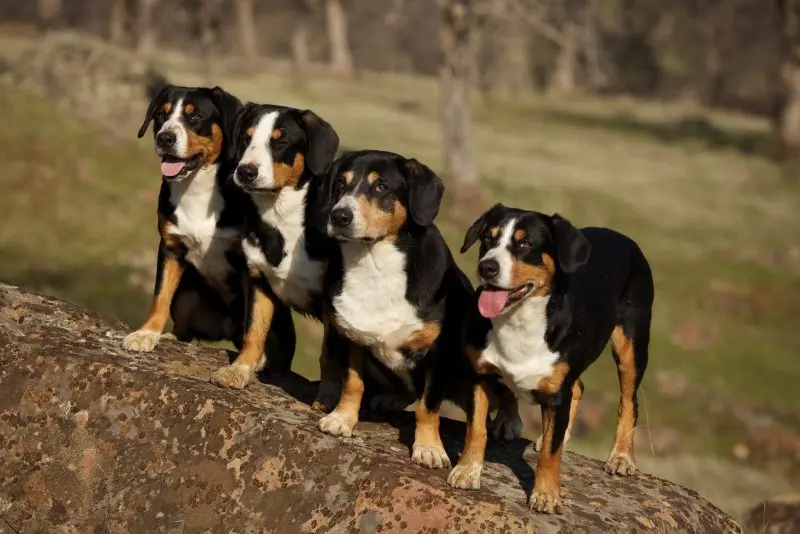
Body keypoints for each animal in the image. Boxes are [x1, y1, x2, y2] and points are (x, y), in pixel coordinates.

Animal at [126, 85, 296, 372]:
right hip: (188, 295)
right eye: (162, 114)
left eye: (195, 116)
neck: (197, 188)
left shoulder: (247, 261)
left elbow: (253, 318)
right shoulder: (171, 246)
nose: (165, 138)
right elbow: (160, 295)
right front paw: (146, 333)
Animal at [206, 100, 344, 408]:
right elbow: (254, 331)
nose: (246, 172)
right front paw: (239, 371)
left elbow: (329, 354)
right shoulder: (258, 279)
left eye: (280, 141)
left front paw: (328, 398)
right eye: (246, 138)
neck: (282, 217)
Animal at [318, 149, 524, 472]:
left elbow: (427, 408)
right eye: (340, 184)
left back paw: (509, 419)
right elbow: (352, 383)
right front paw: (342, 419)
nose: (339, 216)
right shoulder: (352, 337)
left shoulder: (439, 354)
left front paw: (429, 448)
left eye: (381, 187)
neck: (375, 264)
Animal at [446, 204, 652, 516]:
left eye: (525, 244)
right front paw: (467, 471)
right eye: (487, 239)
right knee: (577, 387)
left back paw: (621, 457)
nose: (487, 267)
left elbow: (550, 454)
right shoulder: (479, 374)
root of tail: (624, 239)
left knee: (629, 400)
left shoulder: (558, 394)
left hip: (631, 343)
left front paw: (546, 495)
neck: (519, 320)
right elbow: (476, 429)